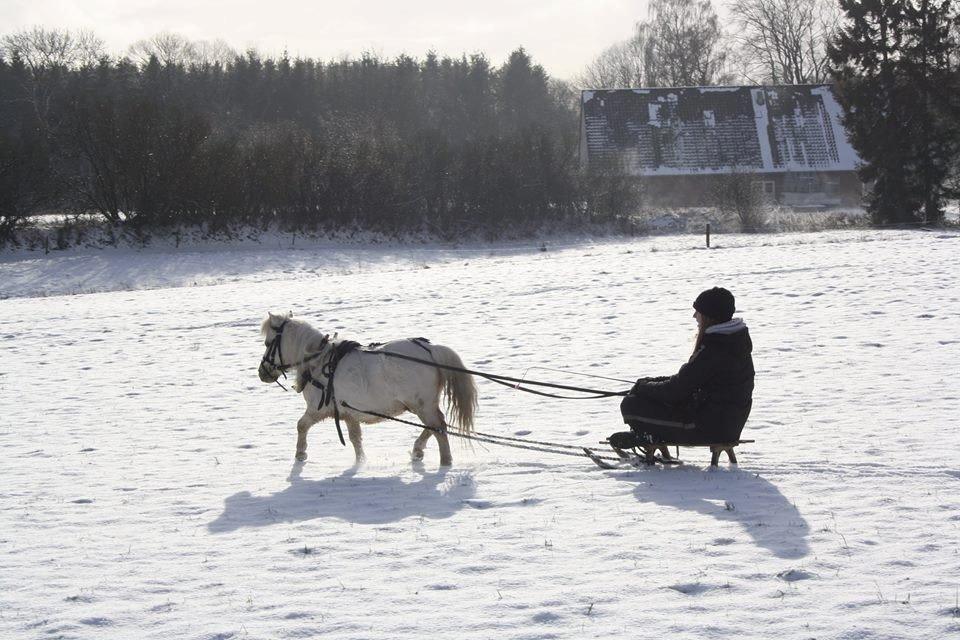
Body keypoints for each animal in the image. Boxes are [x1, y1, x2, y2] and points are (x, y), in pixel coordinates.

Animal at [256, 312, 478, 464]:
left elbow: (301, 426)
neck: (319, 362)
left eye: (267, 343)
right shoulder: (348, 413)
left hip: (423, 406)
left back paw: (445, 461)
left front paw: (300, 454)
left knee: (438, 428)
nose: (262, 372)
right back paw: (418, 451)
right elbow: (355, 438)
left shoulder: (317, 409)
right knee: (435, 426)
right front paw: (361, 461)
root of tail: (430, 349)